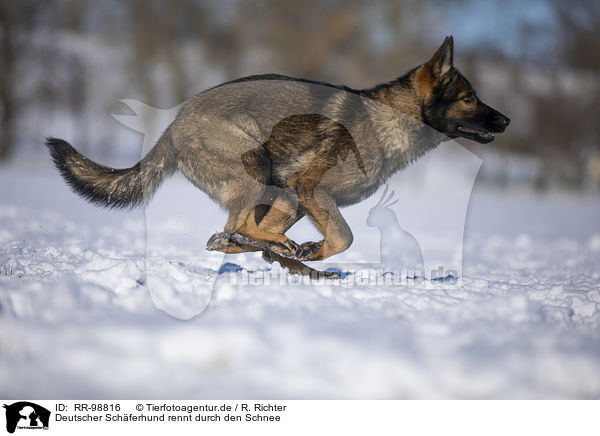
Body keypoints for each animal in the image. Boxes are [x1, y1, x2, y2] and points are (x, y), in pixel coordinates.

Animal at [45, 36, 510, 276]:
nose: (506, 120)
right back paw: (282, 252)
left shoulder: (306, 198)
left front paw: (305, 256)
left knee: (229, 234)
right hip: (262, 170)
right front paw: (312, 254)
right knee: (236, 227)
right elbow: (345, 237)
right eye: (469, 98)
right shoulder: (309, 189)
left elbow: (331, 237)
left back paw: (274, 253)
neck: (388, 121)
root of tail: (173, 124)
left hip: (281, 195)